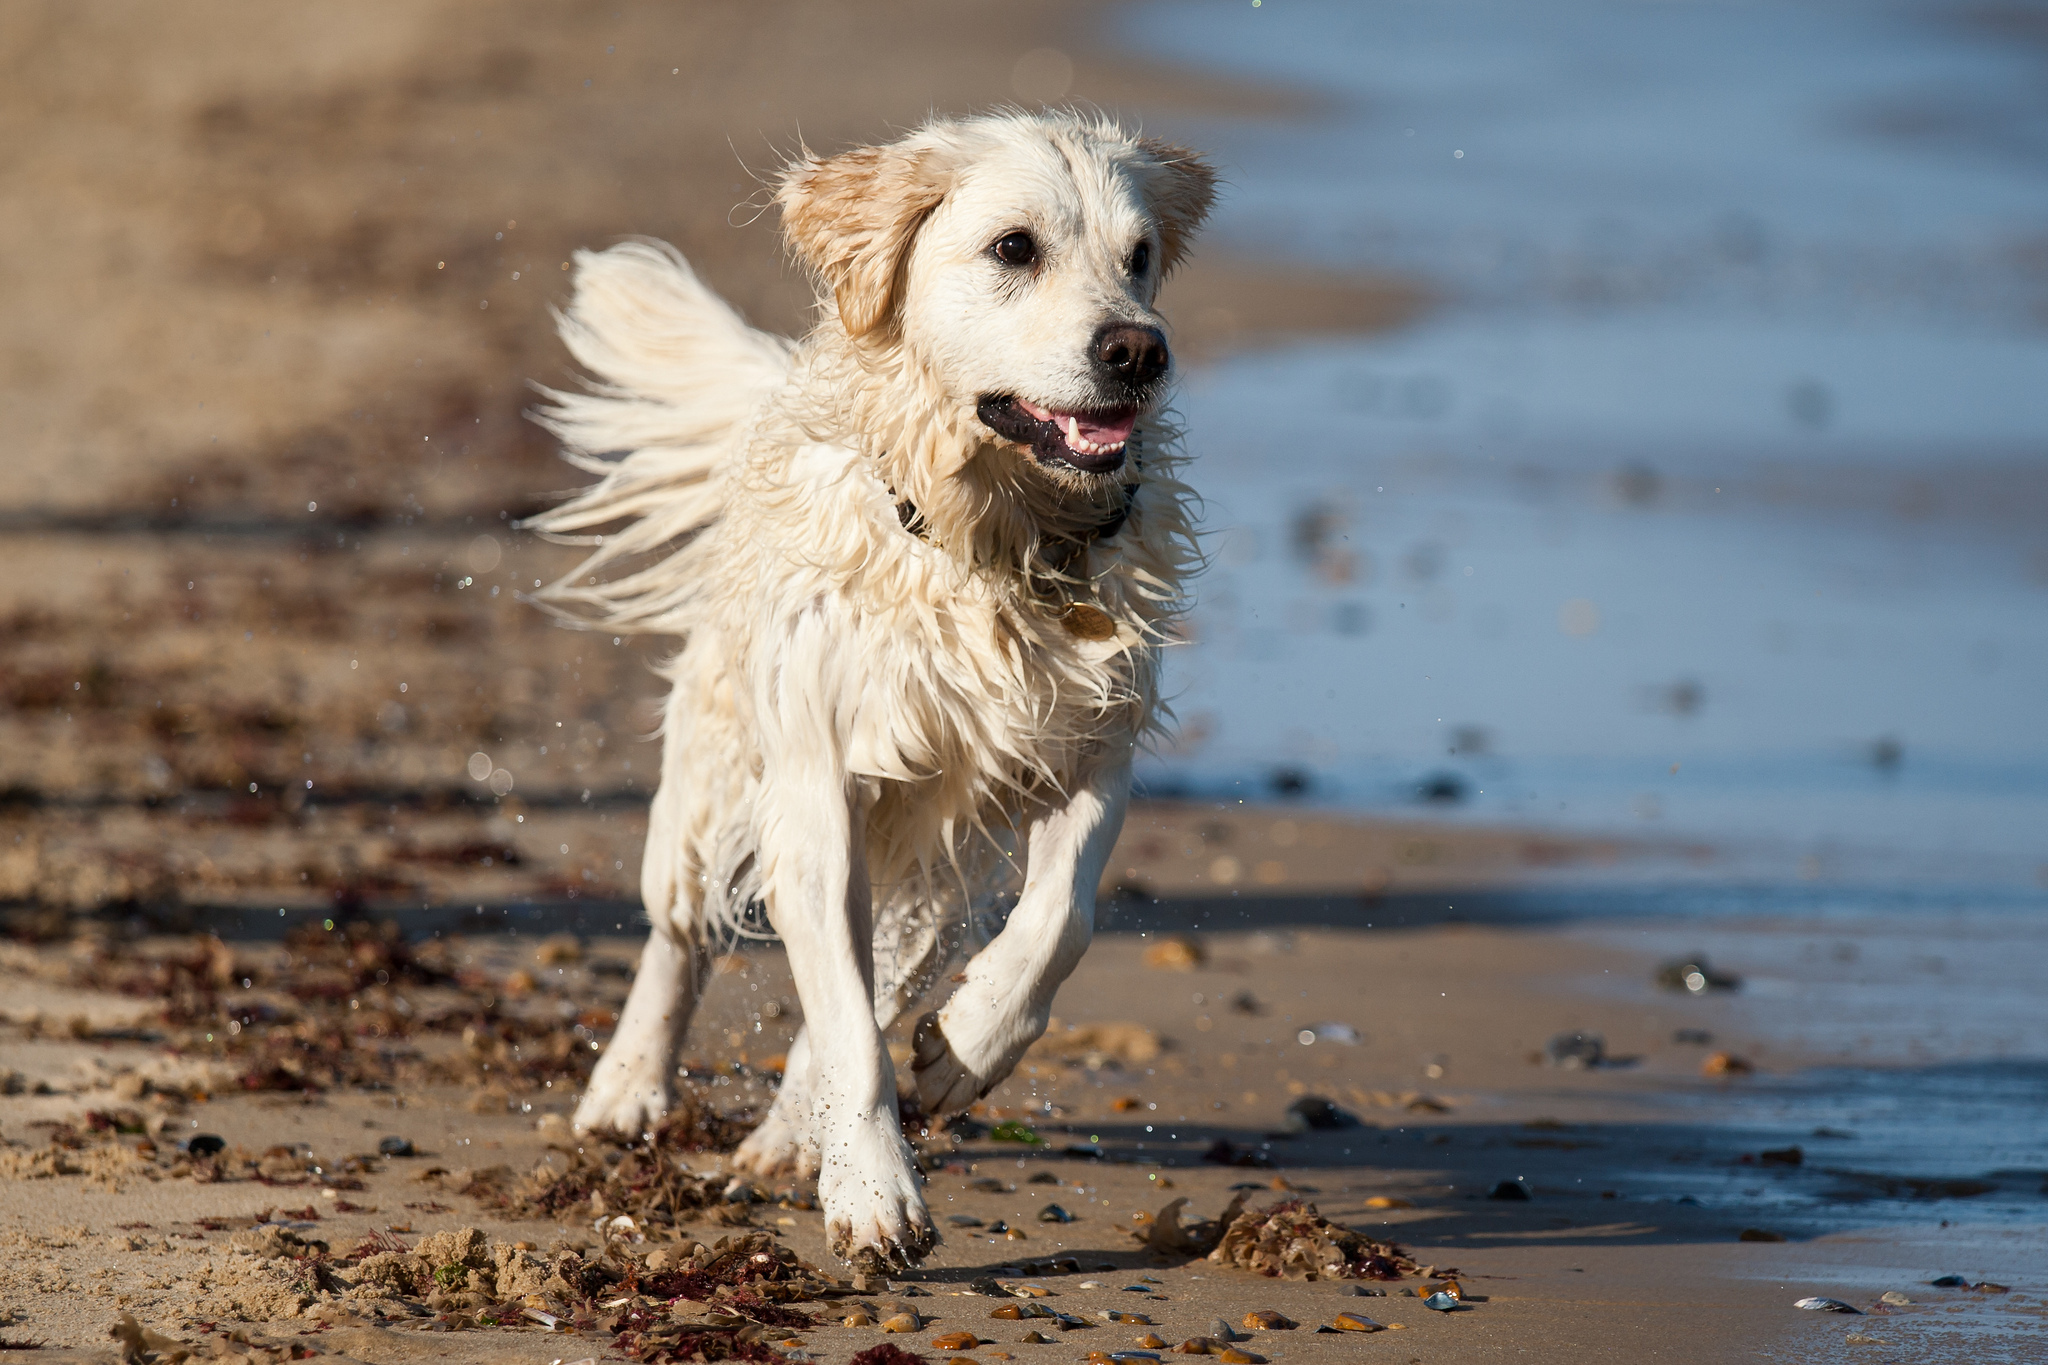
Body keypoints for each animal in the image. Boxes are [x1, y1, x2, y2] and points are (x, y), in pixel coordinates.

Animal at [528, 109, 1212, 1268]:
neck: (988, 537)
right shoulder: (814, 783)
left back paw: (794, 1129)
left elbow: (1060, 920)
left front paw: (962, 1050)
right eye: (1013, 248)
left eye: (1140, 257)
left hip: (932, 865)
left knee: (882, 966)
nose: (1138, 350)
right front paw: (875, 1192)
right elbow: (844, 1018)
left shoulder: (1093, 745)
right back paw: (628, 1089)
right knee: (682, 935)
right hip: (717, 769)